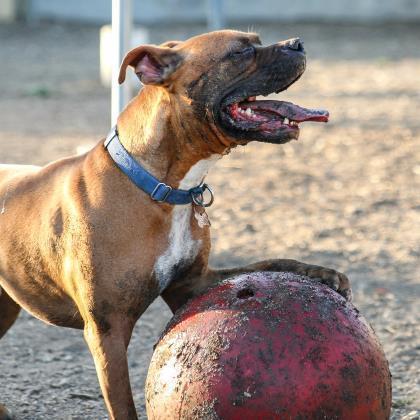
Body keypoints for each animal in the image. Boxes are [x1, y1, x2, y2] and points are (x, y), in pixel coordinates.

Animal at [0, 31, 352, 418]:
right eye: (241, 51)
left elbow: (270, 263)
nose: (297, 43)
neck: (162, 187)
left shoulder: (192, 283)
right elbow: (124, 407)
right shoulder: (108, 331)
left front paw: (321, 273)